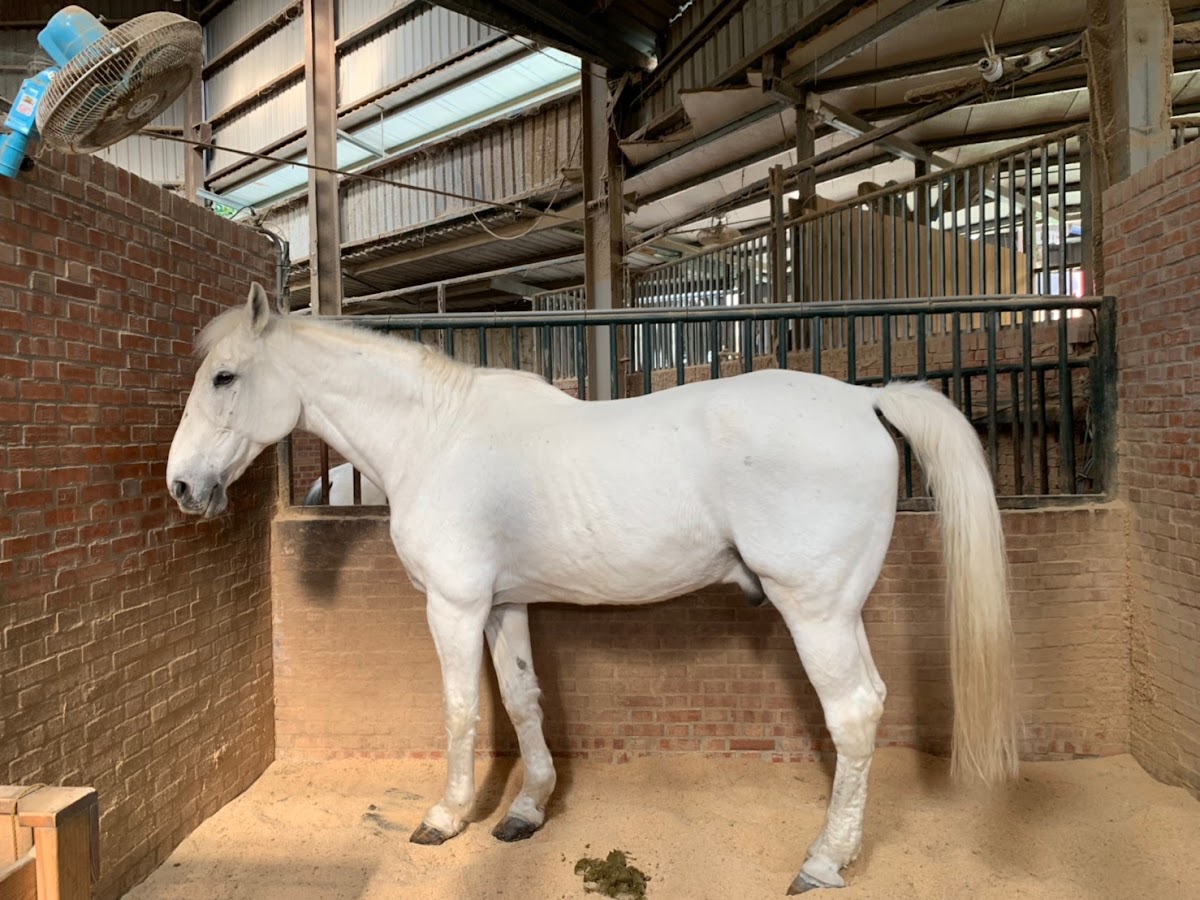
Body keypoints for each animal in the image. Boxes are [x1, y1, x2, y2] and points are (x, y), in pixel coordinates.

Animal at [166, 283, 1017, 894]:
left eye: (225, 376)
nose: (181, 486)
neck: (435, 436)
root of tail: (867, 397)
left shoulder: (455, 606)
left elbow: (462, 711)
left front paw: (446, 817)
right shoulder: (503, 604)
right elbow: (522, 700)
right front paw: (527, 810)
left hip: (817, 610)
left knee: (854, 713)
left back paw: (823, 861)